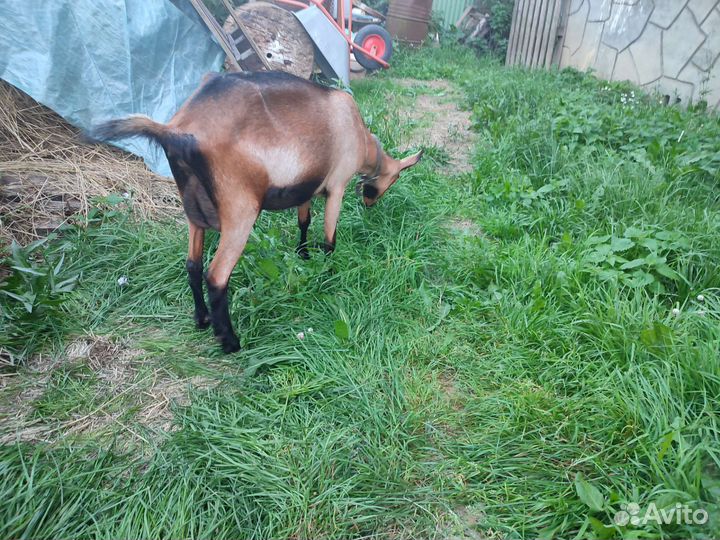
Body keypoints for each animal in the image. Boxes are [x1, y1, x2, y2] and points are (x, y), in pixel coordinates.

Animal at [92, 71, 422, 353]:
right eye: (393, 180)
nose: (369, 204)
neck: (361, 137)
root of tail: (176, 131)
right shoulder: (337, 185)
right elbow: (330, 238)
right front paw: (329, 273)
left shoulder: (305, 188)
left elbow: (304, 221)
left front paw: (303, 255)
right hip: (239, 212)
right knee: (216, 276)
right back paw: (230, 341)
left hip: (194, 214)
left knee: (193, 265)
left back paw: (202, 320)